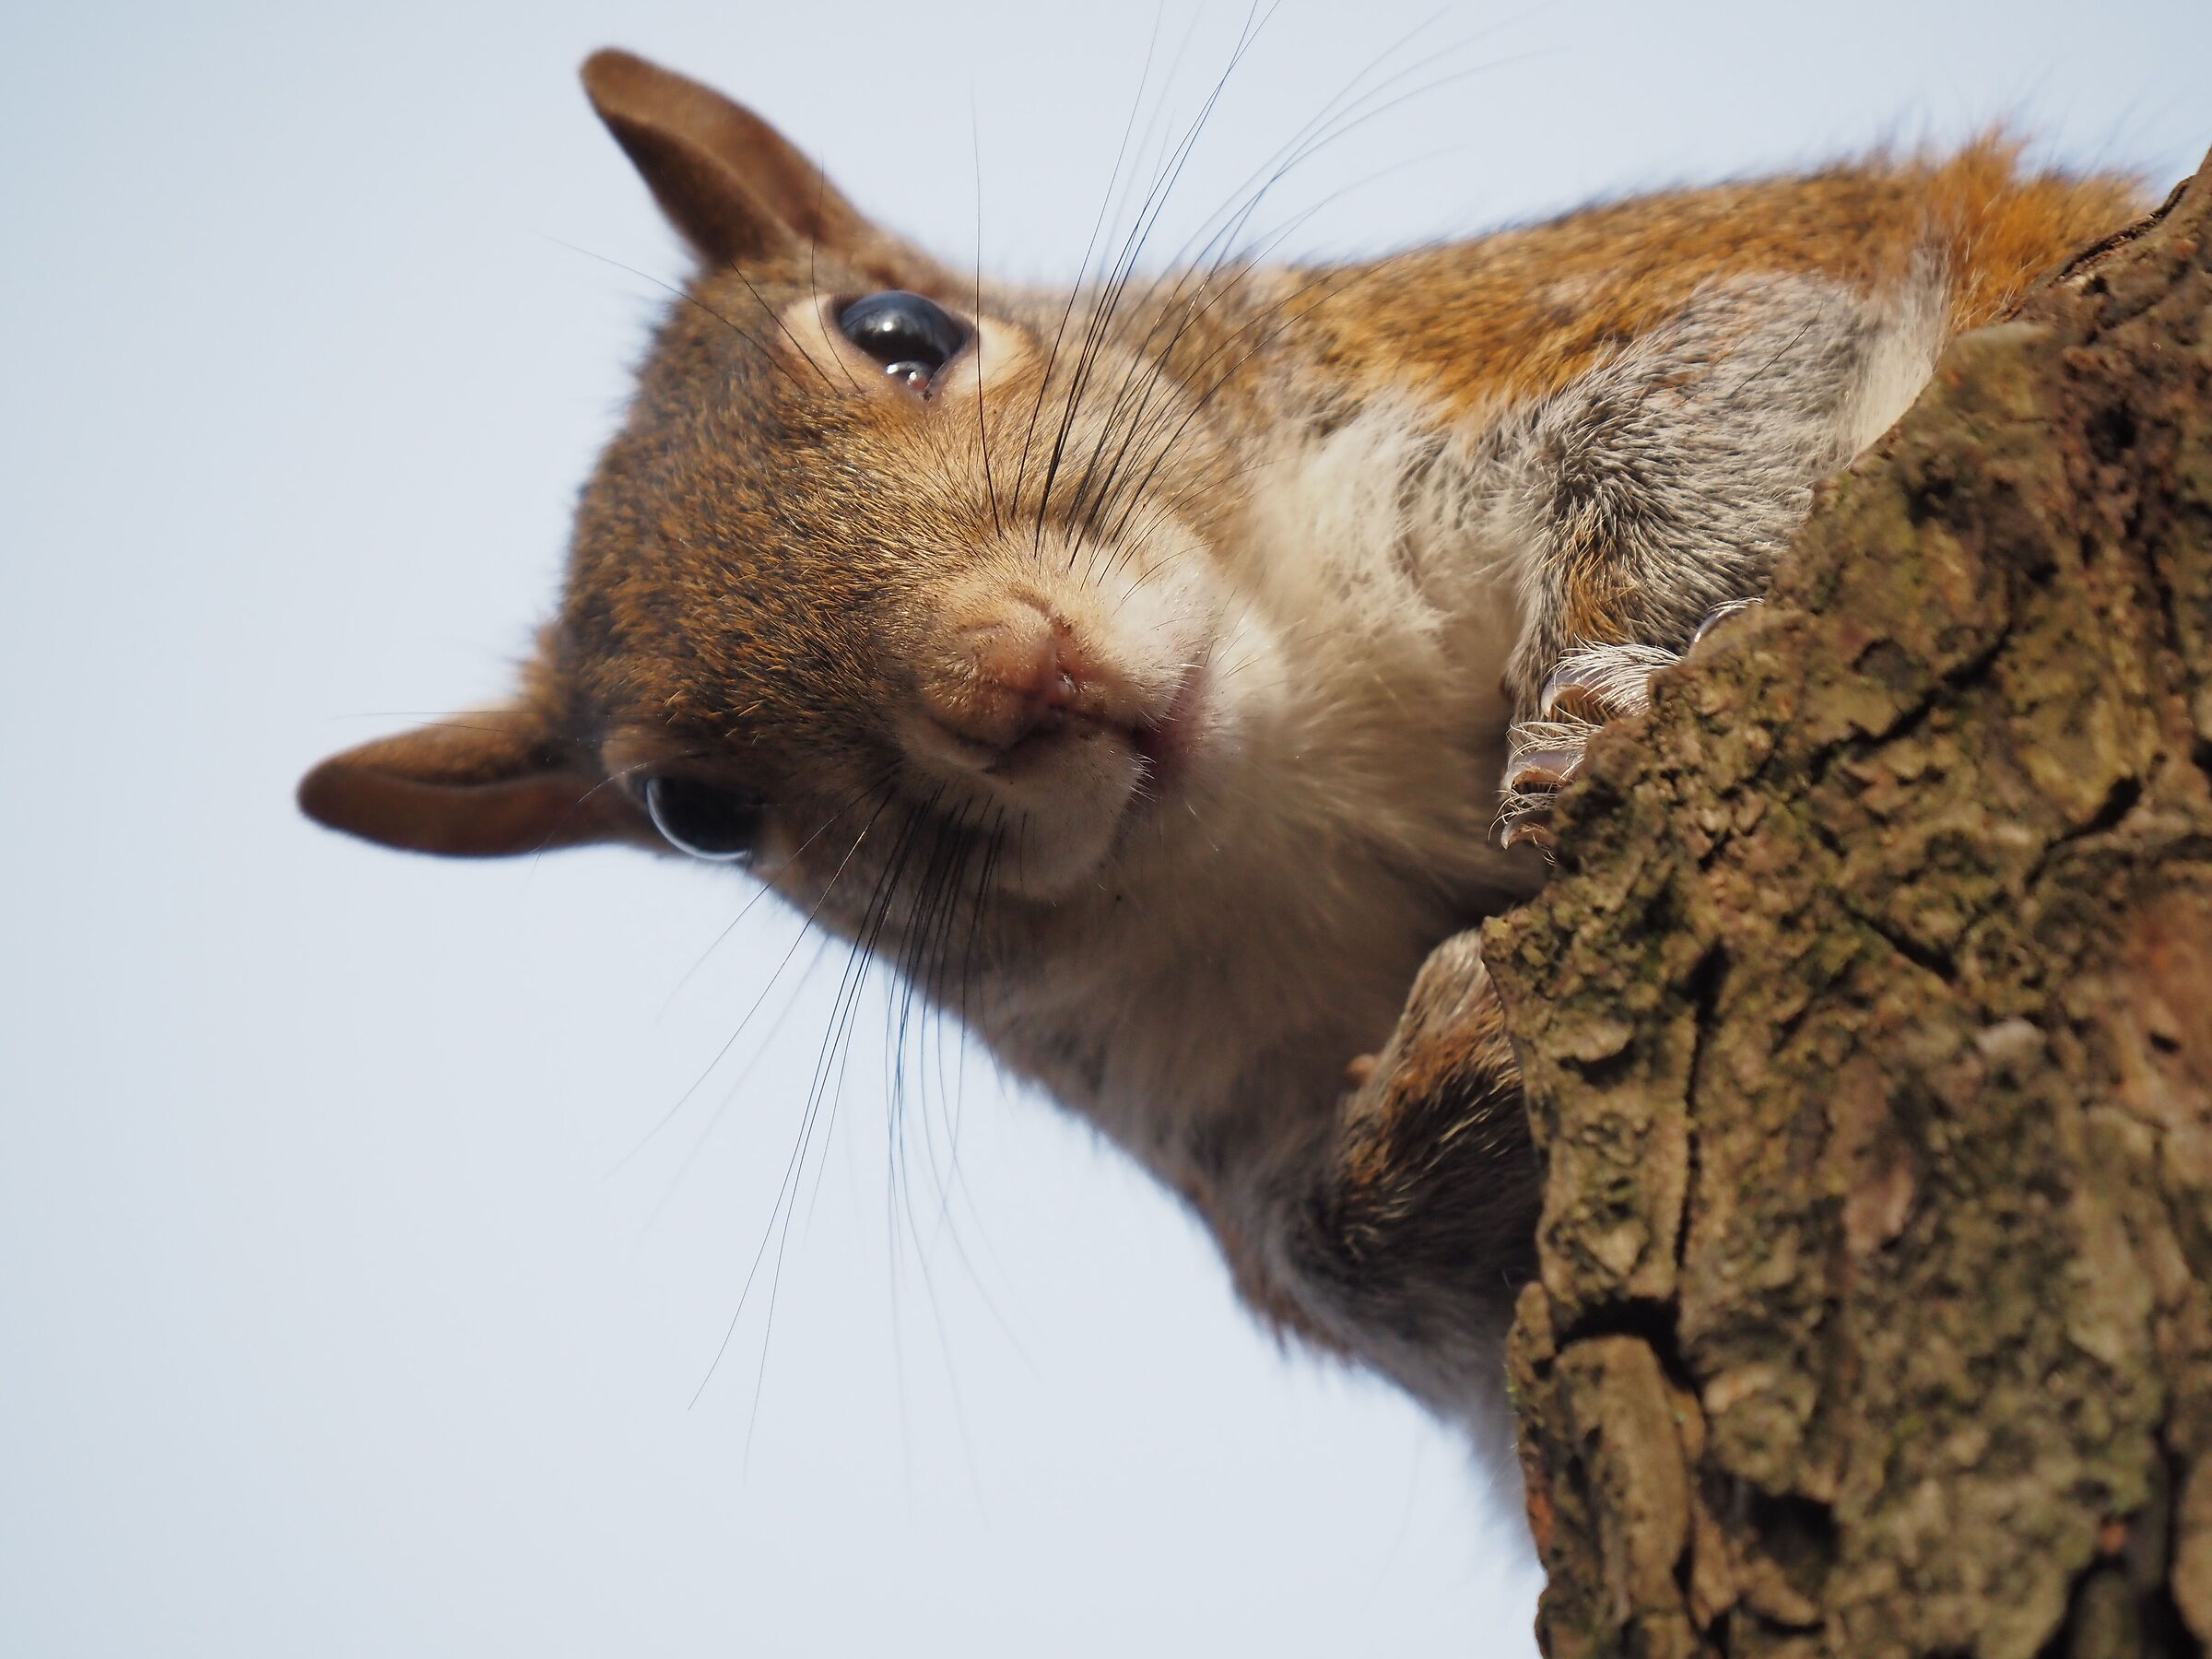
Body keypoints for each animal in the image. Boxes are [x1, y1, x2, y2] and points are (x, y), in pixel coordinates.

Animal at [298, 49, 2139, 1464]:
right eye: (698, 814)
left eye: (902, 327)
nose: (1010, 680)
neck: (1292, 776)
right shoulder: (1207, 1095)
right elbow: (1348, 1271)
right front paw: (1449, 1074)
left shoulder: (1582, 324)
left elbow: (1699, 408)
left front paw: (1592, 703)